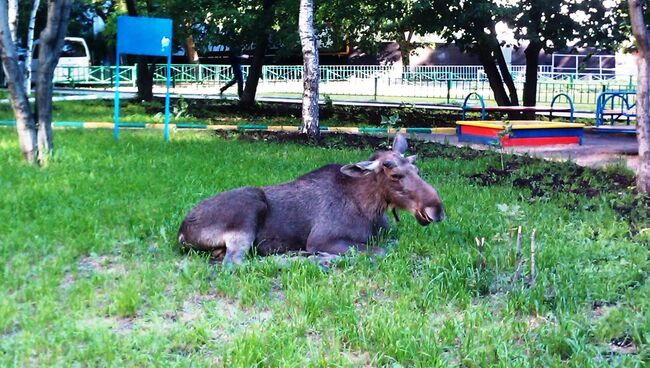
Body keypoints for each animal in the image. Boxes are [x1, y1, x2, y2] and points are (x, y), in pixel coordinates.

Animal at [177, 133, 442, 264]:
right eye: (395, 175)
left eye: (417, 170)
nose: (436, 210)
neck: (371, 210)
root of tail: (181, 233)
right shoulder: (322, 238)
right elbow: (379, 250)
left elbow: (391, 243)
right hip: (250, 206)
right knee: (236, 263)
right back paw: (302, 258)